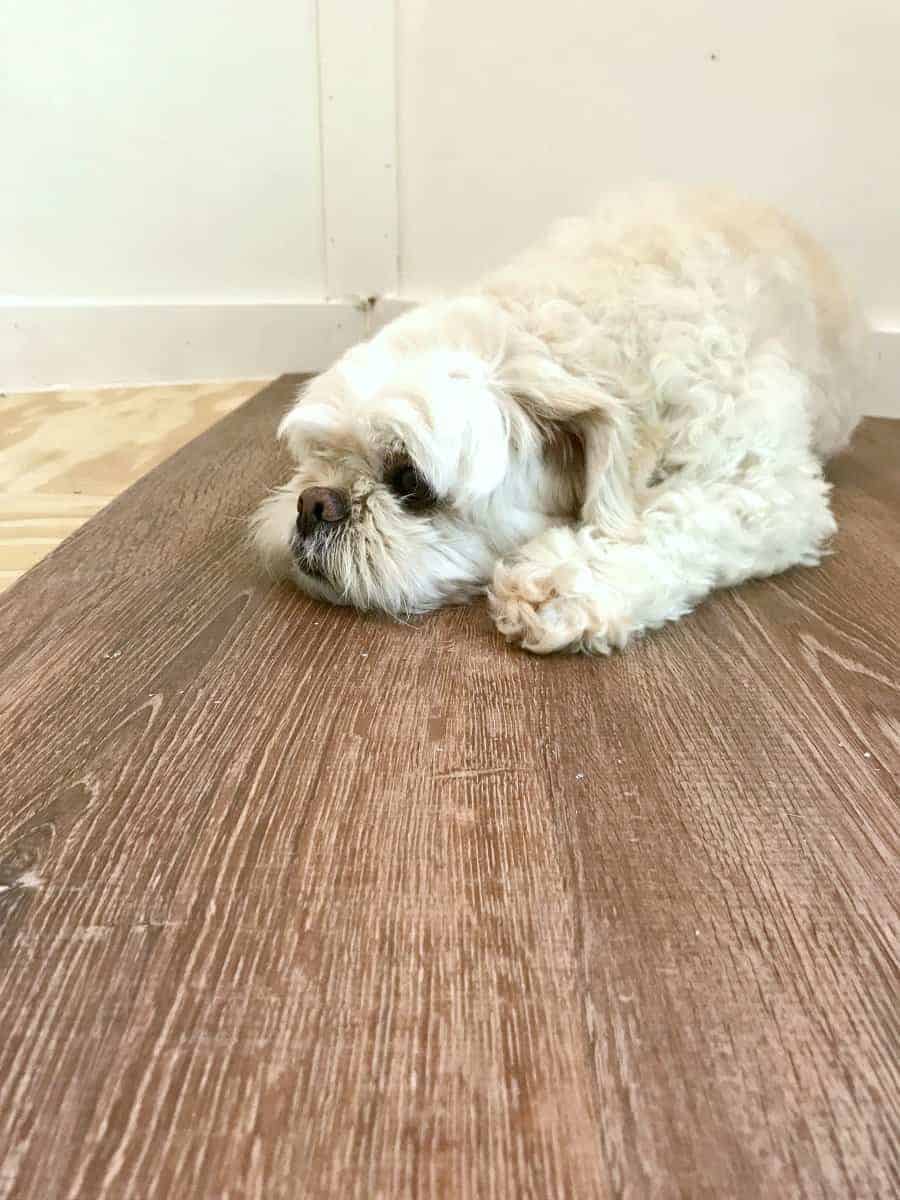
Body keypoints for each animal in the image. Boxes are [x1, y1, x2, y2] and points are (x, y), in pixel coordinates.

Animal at [254, 184, 868, 657]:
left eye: (410, 482)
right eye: (316, 459)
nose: (314, 504)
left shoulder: (767, 486)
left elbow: (679, 521)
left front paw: (563, 587)